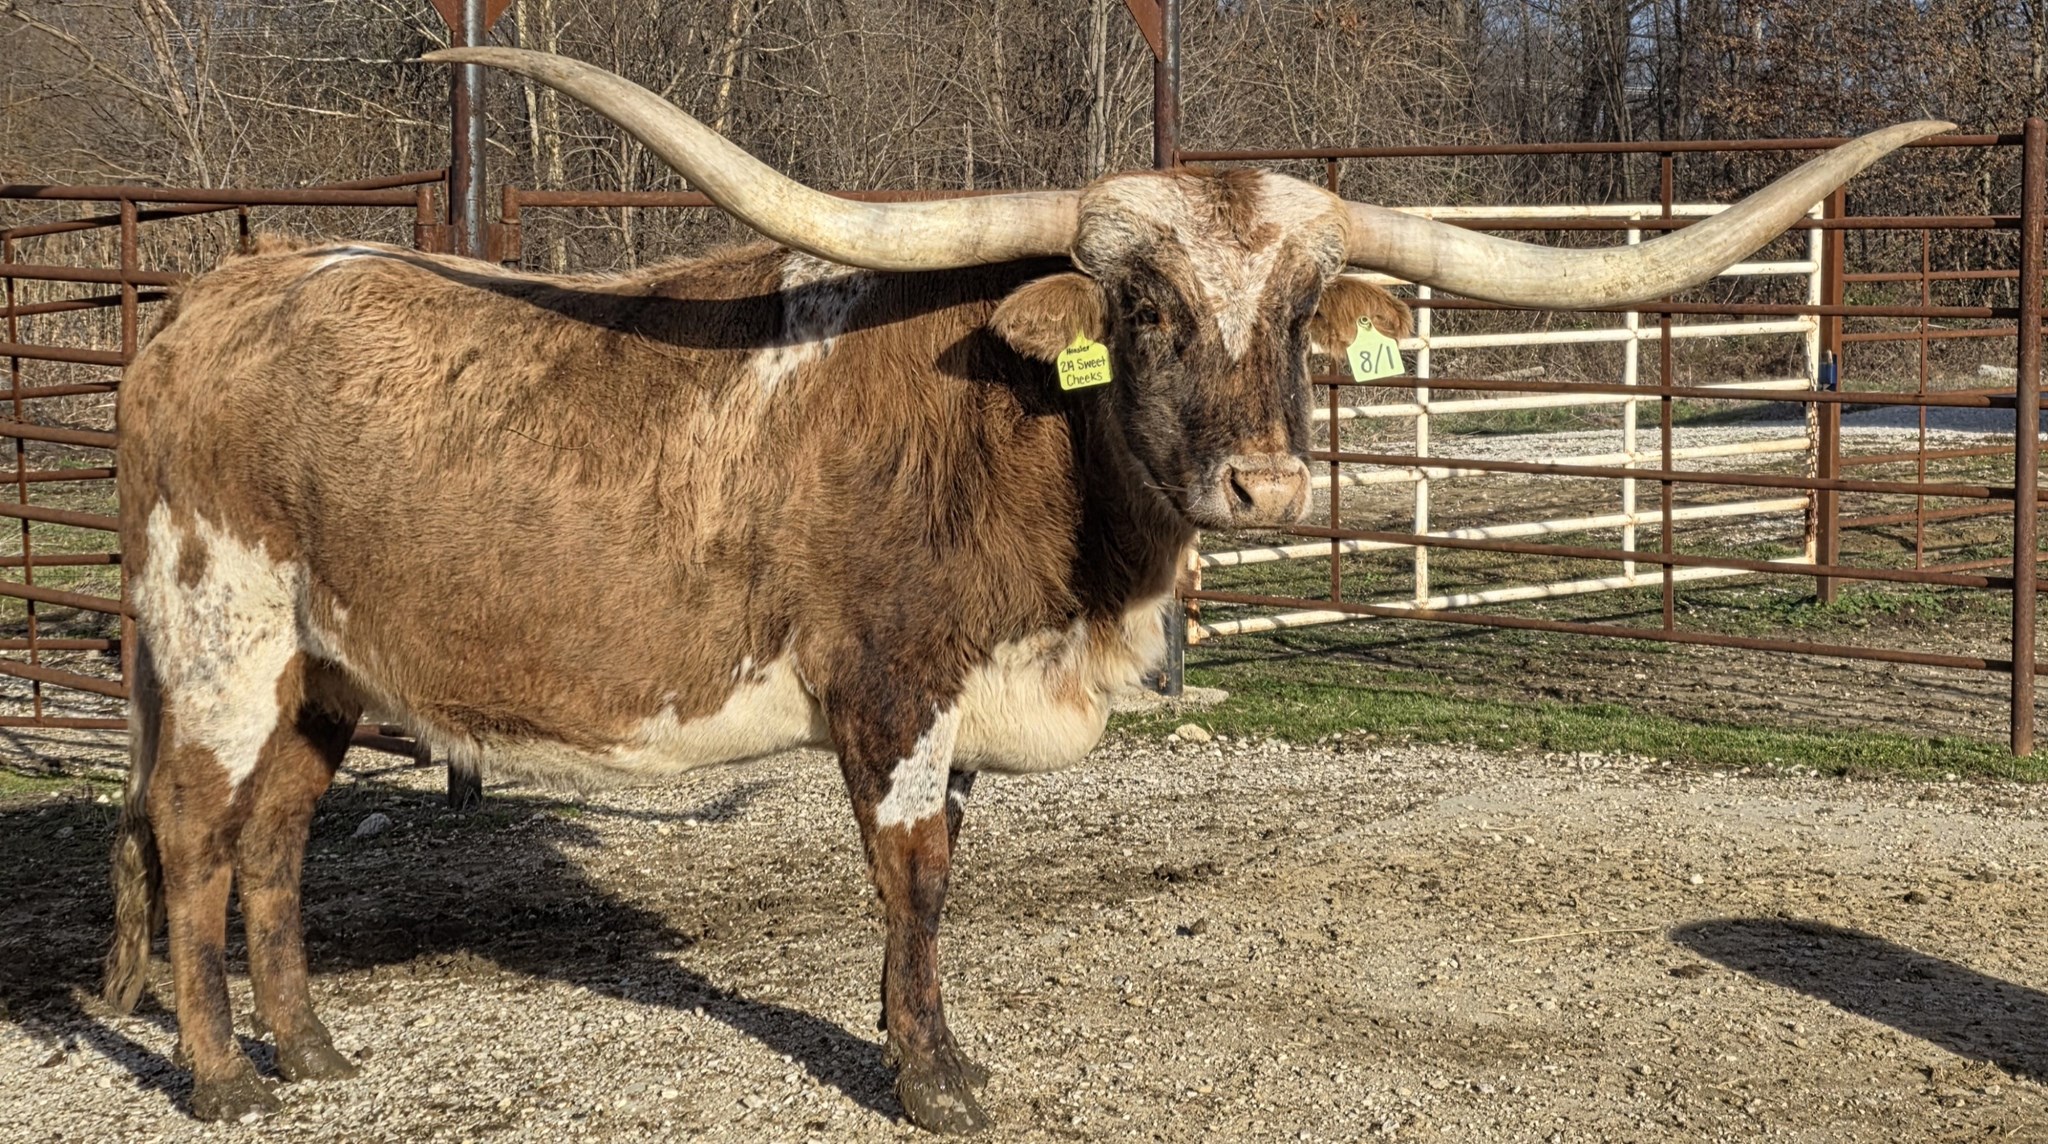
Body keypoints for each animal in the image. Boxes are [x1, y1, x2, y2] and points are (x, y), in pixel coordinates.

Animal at [98, 45, 1945, 1133]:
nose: (1266, 484)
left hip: (325, 669)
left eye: (1301, 314)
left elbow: (946, 881)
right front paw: (934, 1075)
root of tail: (211, 296)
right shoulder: (892, 690)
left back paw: (315, 1050)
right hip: (219, 633)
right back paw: (218, 1074)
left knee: (274, 841)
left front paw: (921, 1042)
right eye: (1140, 307)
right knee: (190, 832)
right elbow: (914, 881)